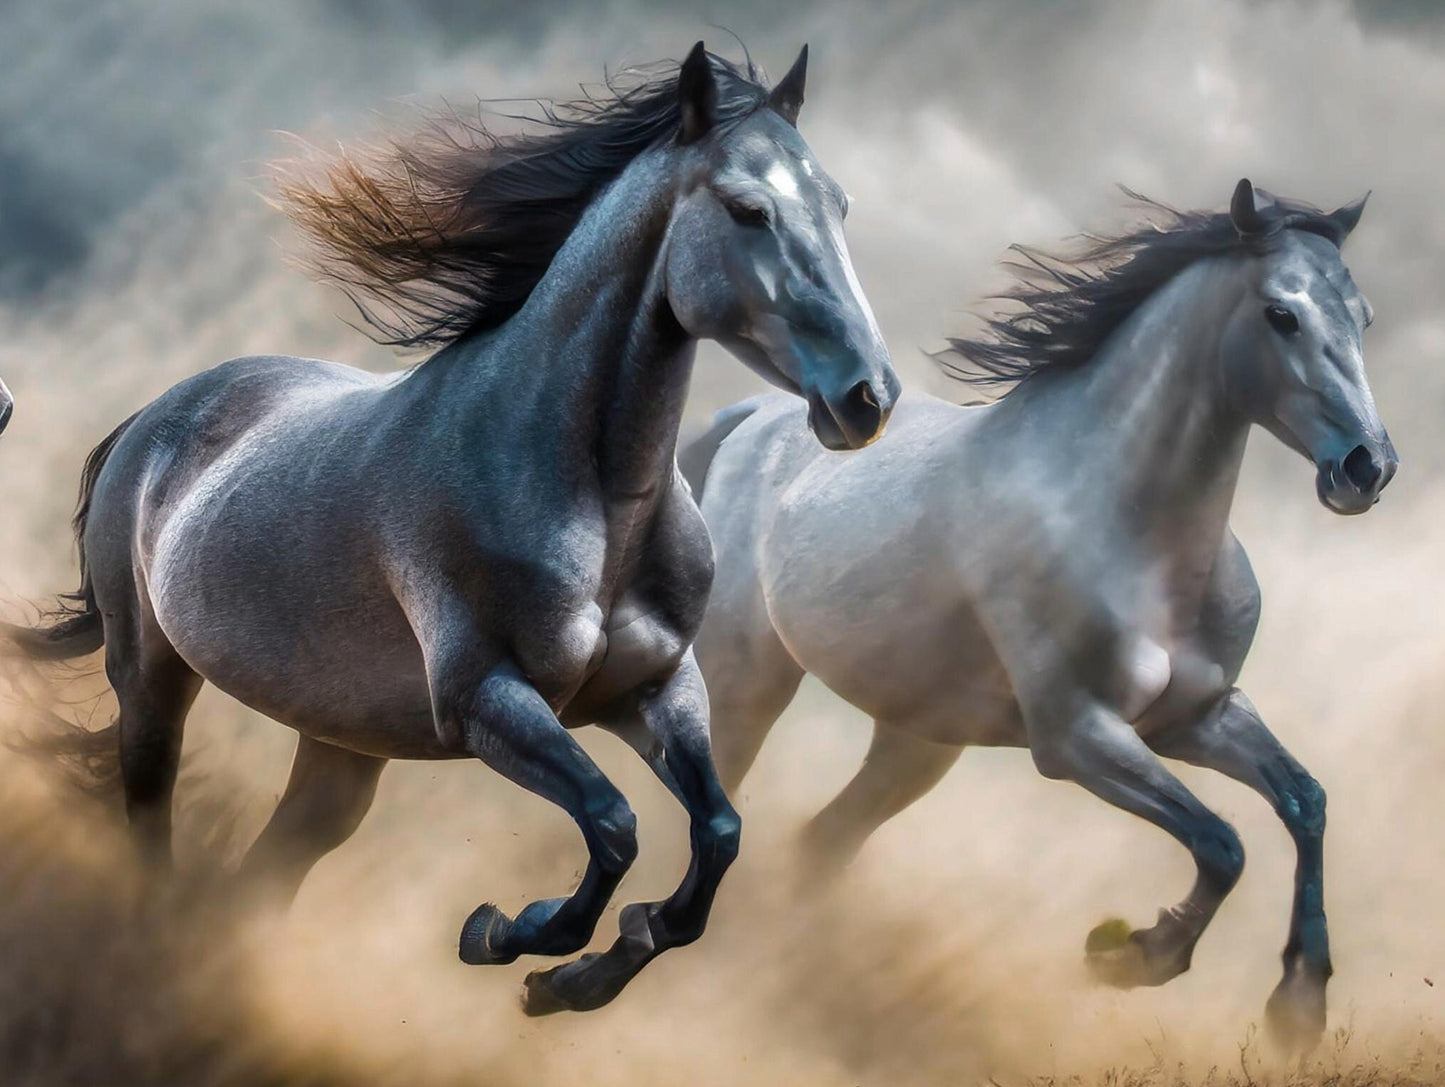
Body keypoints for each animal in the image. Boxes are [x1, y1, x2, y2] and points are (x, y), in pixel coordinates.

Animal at [5, 42, 898, 1015]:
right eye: (747, 209)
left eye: (841, 205)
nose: (868, 396)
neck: (588, 499)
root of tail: (155, 414)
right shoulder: (484, 699)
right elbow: (614, 823)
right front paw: (512, 934)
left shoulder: (655, 688)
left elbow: (718, 833)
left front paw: (584, 974)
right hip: (152, 678)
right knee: (150, 826)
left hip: (341, 744)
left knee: (269, 870)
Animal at [683, 180, 1392, 1048]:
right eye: (1281, 314)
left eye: (1360, 317)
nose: (1366, 467)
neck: (1130, 534)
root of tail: (750, 418)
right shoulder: (1076, 735)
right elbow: (1221, 842)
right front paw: (1130, 952)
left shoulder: (1198, 717)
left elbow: (1304, 803)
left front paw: (1298, 1001)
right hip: (745, 682)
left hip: (916, 743)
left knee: (820, 844)